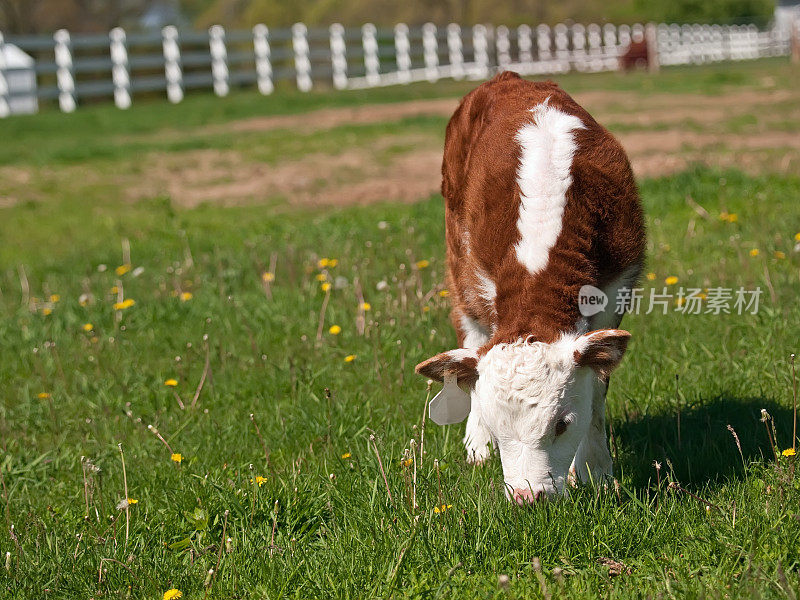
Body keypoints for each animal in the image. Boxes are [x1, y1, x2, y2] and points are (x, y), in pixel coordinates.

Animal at [416, 69, 648, 502]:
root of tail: (508, 77)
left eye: (562, 424)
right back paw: (475, 448)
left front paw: (594, 473)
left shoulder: (616, 290)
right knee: (469, 340)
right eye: (498, 428)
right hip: (459, 264)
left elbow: (597, 392)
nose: (528, 497)